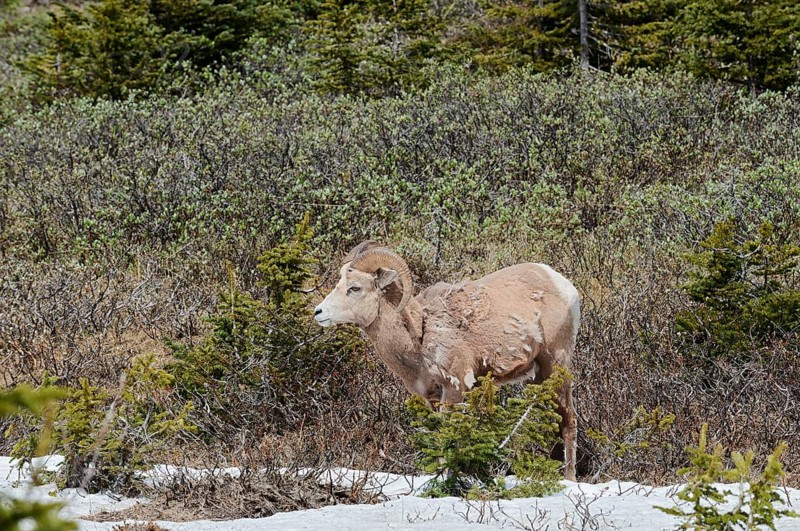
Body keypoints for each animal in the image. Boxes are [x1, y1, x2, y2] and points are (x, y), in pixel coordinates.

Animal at [314, 241, 580, 480]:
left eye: (355, 288)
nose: (318, 312)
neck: (419, 335)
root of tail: (564, 286)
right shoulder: (430, 398)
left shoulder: (454, 388)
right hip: (537, 378)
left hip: (556, 366)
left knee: (568, 421)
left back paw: (569, 479)